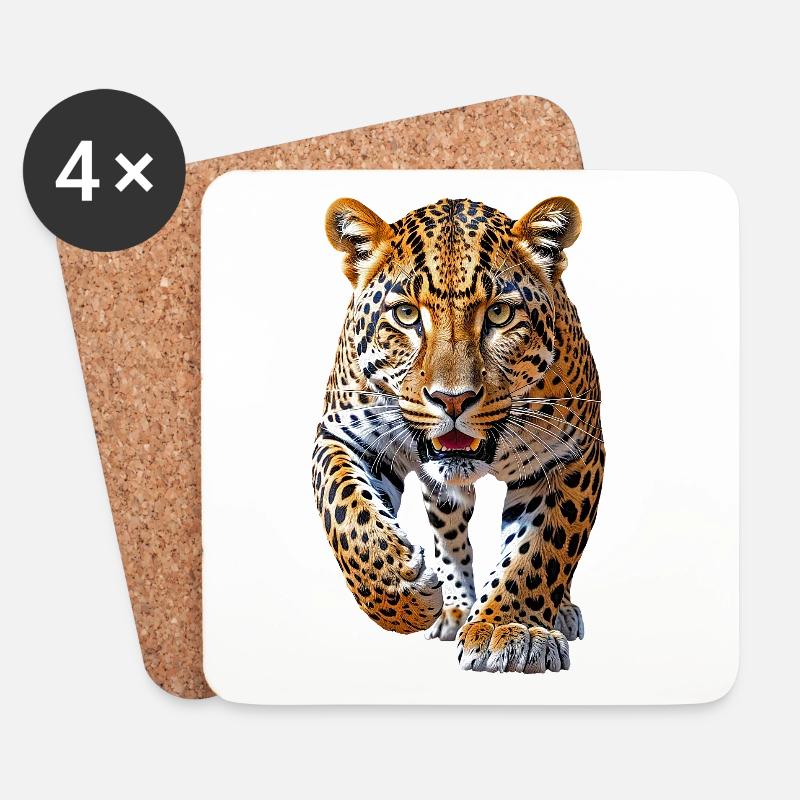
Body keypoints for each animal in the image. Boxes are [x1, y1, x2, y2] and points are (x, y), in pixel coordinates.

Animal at [311, 194, 604, 674]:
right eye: (406, 314)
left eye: (499, 313)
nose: (452, 400)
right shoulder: (345, 435)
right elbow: (349, 516)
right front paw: (402, 589)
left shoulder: (571, 454)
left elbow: (540, 551)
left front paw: (510, 628)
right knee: (449, 531)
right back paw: (452, 607)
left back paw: (558, 611)